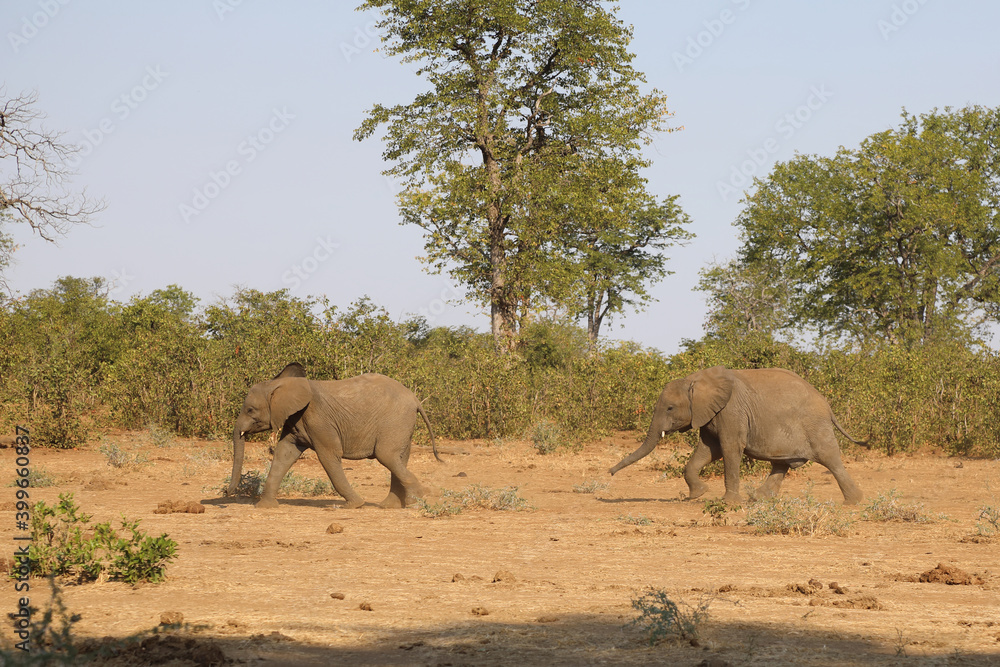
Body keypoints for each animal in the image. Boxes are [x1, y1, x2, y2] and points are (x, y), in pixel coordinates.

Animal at [228, 362, 441, 509]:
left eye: (250, 410)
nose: (229, 492)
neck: (281, 384)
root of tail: (415, 399)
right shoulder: (295, 420)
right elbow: (283, 455)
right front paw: (265, 506)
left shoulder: (318, 419)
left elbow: (329, 456)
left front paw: (355, 505)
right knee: (399, 458)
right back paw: (390, 505)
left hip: (396, 420)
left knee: (386, 455)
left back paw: (415, 501)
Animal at [608, 366, 867, 505]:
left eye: (670, 408)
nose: (609, 473)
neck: (695, 380)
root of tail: (827, 405)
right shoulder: (710, 414)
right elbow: (708, 451)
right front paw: (698, 495)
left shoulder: (731, 411)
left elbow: (730, 448)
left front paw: (729, 502)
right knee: (781, 464)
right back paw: (758, 499)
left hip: (815, 426)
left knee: (830, 459)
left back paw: (853, 502)